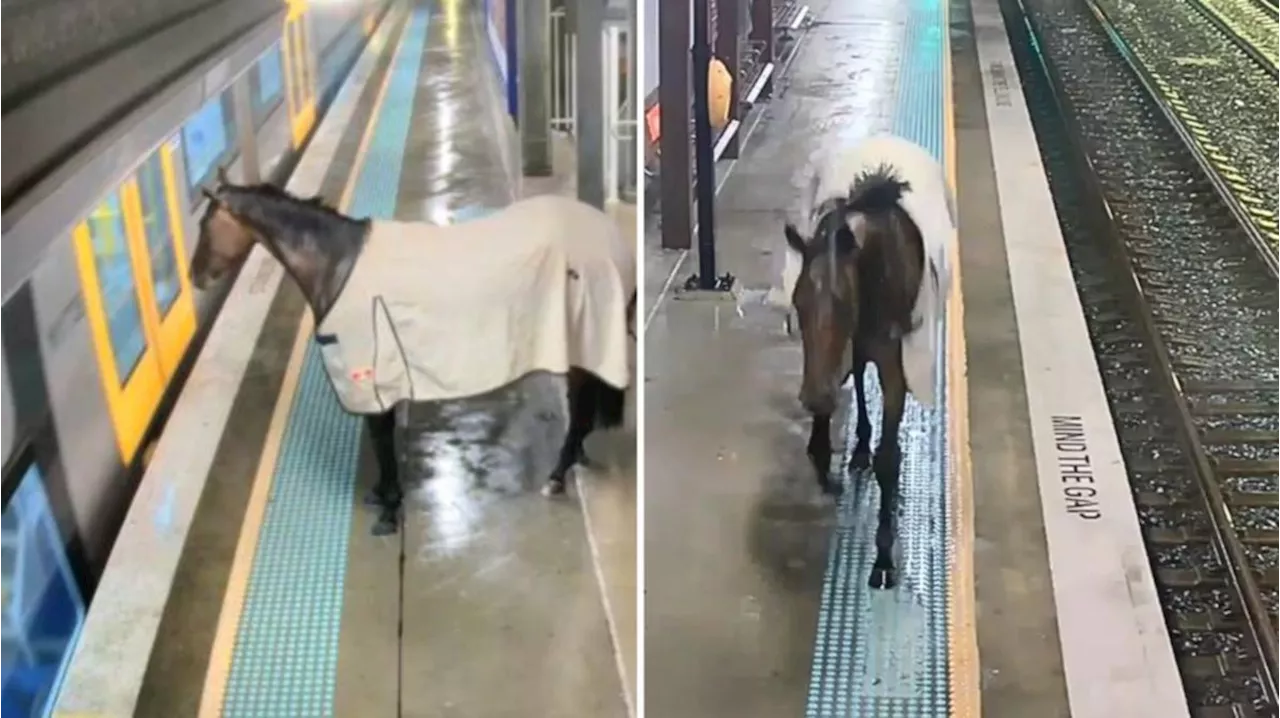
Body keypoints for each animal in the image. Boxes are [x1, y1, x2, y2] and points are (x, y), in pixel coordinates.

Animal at [190, 167, 634, 534]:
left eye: (205, 223)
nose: (196, 278)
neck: (338, 264)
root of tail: (611, 237)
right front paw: (381, 496)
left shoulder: (369, 378)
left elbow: (381, 441)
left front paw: (389, 509)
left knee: (581, 410)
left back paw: (556, 477)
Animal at [778, 134, 952, 588]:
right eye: (798, 303)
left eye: (843, 302)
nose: (813, 398)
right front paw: (826, 456)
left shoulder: (896, 365)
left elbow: (889, 459)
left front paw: (884, 556)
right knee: (856, 373)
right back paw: (856, 447)